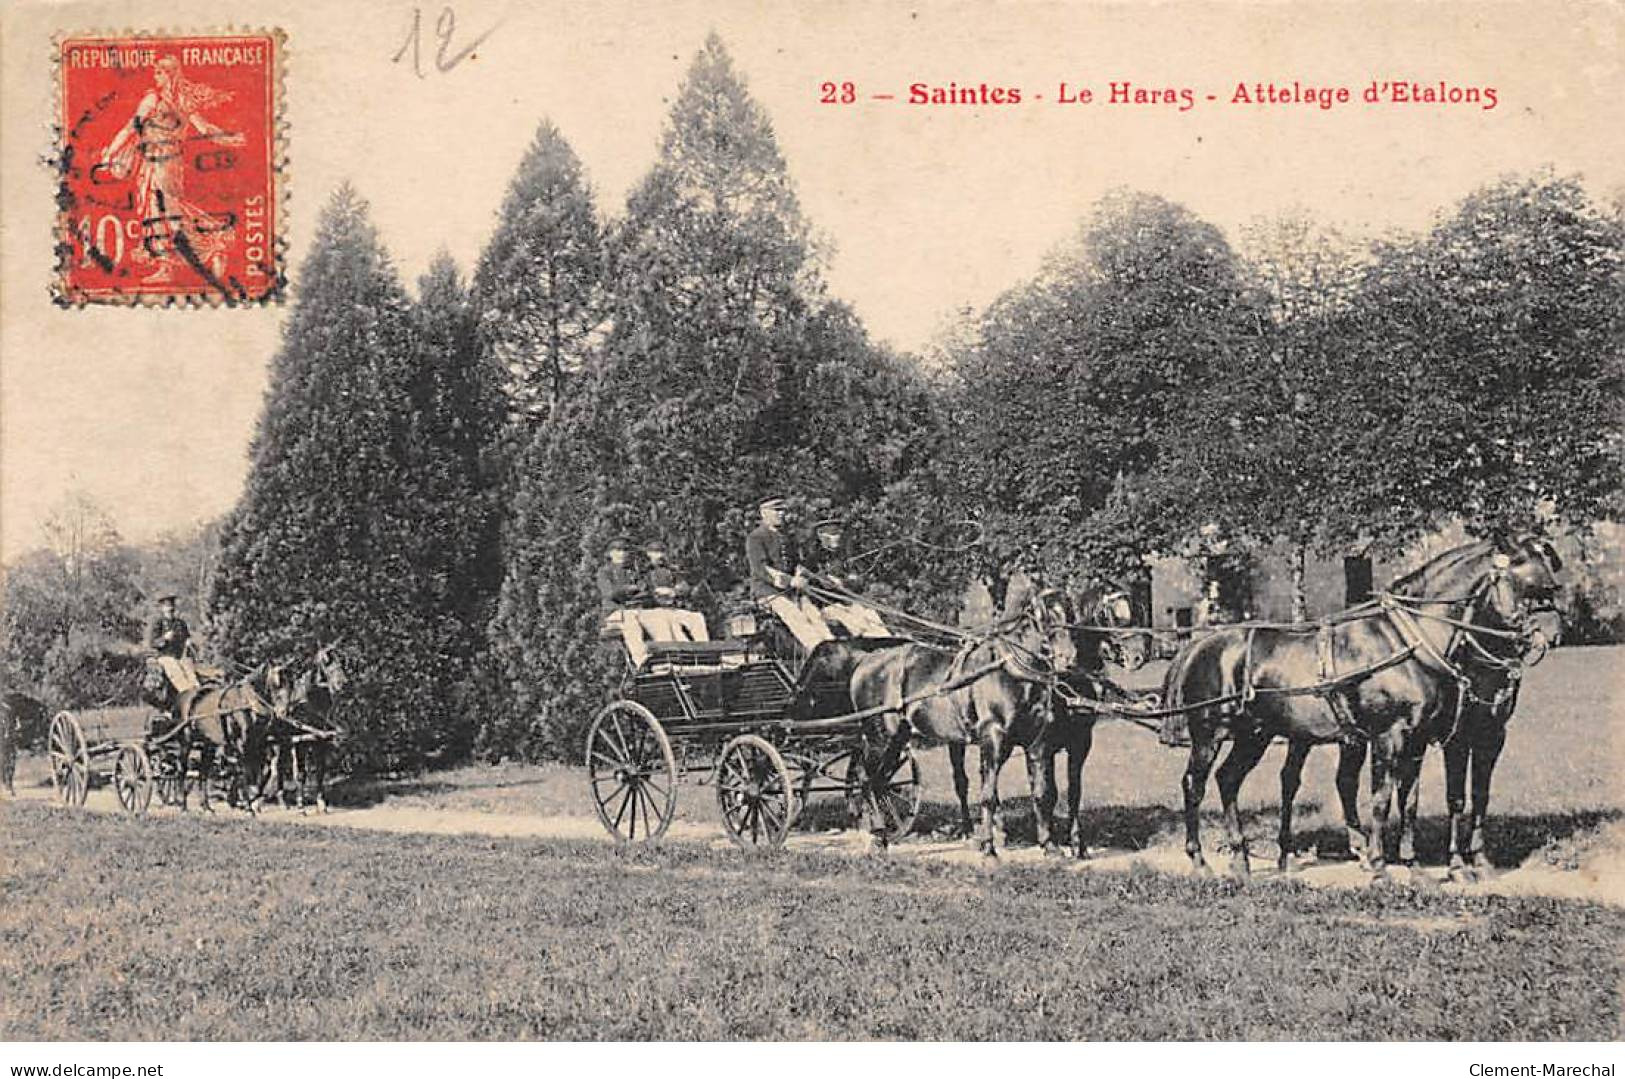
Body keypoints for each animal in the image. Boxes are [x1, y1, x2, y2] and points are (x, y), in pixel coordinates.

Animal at [845, 585, 1072, 858]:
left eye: (1070, 610)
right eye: (1045, 614)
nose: (1068, 656)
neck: (1009, 671)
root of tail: (866, 662)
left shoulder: (1036, 742)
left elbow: (1041, 793)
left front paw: (1049, 846)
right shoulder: (993, 738)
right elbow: (988, 795)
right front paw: (988, 848)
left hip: (898, 737)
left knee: (877, 781)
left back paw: (877, 834)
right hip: (880, 738)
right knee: (868, 780)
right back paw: (878, 836)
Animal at [1163, 536, 1553, 884]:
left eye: (1551, 583)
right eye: (1527, 583)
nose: (1547, 636)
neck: (1406, 641)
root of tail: (1199, 644)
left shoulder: (1418, 741)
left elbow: (1409, 803)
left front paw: (1415, 870)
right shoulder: (1389, 737)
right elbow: (1381, 800)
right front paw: (1381, 869)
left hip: (1254, 735)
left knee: (1229, 780)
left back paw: (1241, 860)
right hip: (1209, 735)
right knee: (1194, 785)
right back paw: (1200, 861)